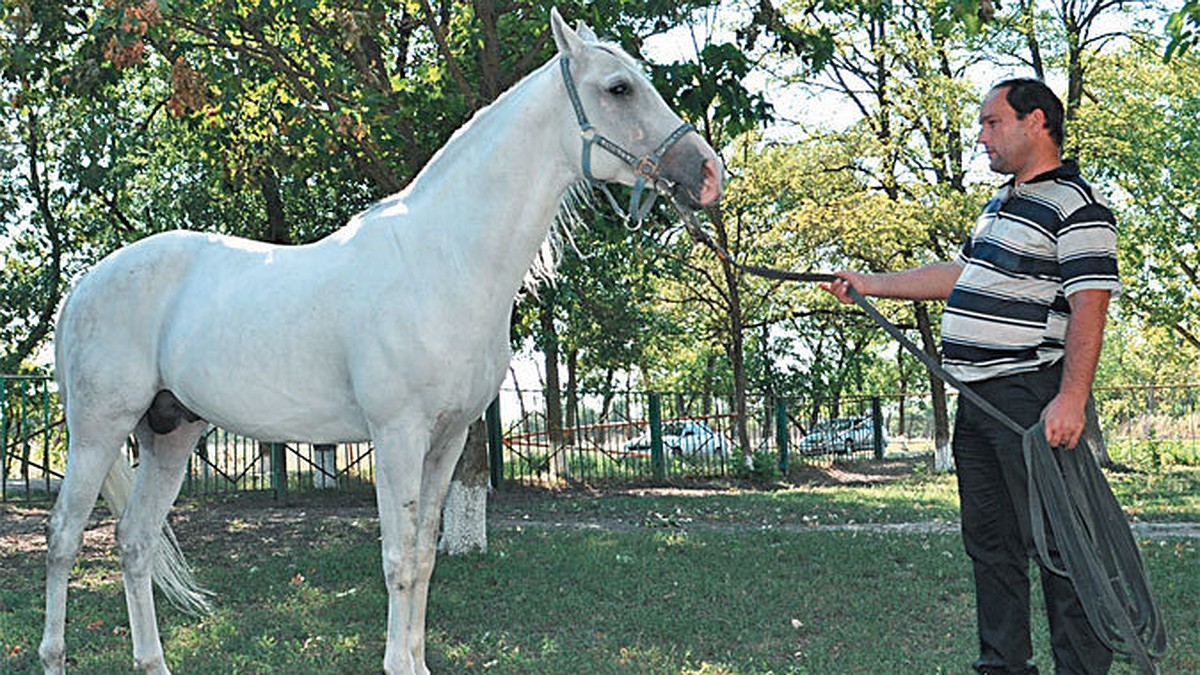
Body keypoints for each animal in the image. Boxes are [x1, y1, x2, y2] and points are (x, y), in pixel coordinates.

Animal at [37, 9, 720, 672]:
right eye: (619, 87)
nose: (708, 173)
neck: (442, 258)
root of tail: (84, 286)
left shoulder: (446, 442)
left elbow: (424, 558)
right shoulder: (398, 436)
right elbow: (398, 560)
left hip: (170, 435)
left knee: (134, 542)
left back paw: (151, 661)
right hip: (99, 430)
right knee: (65, 538)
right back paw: (55, 656)